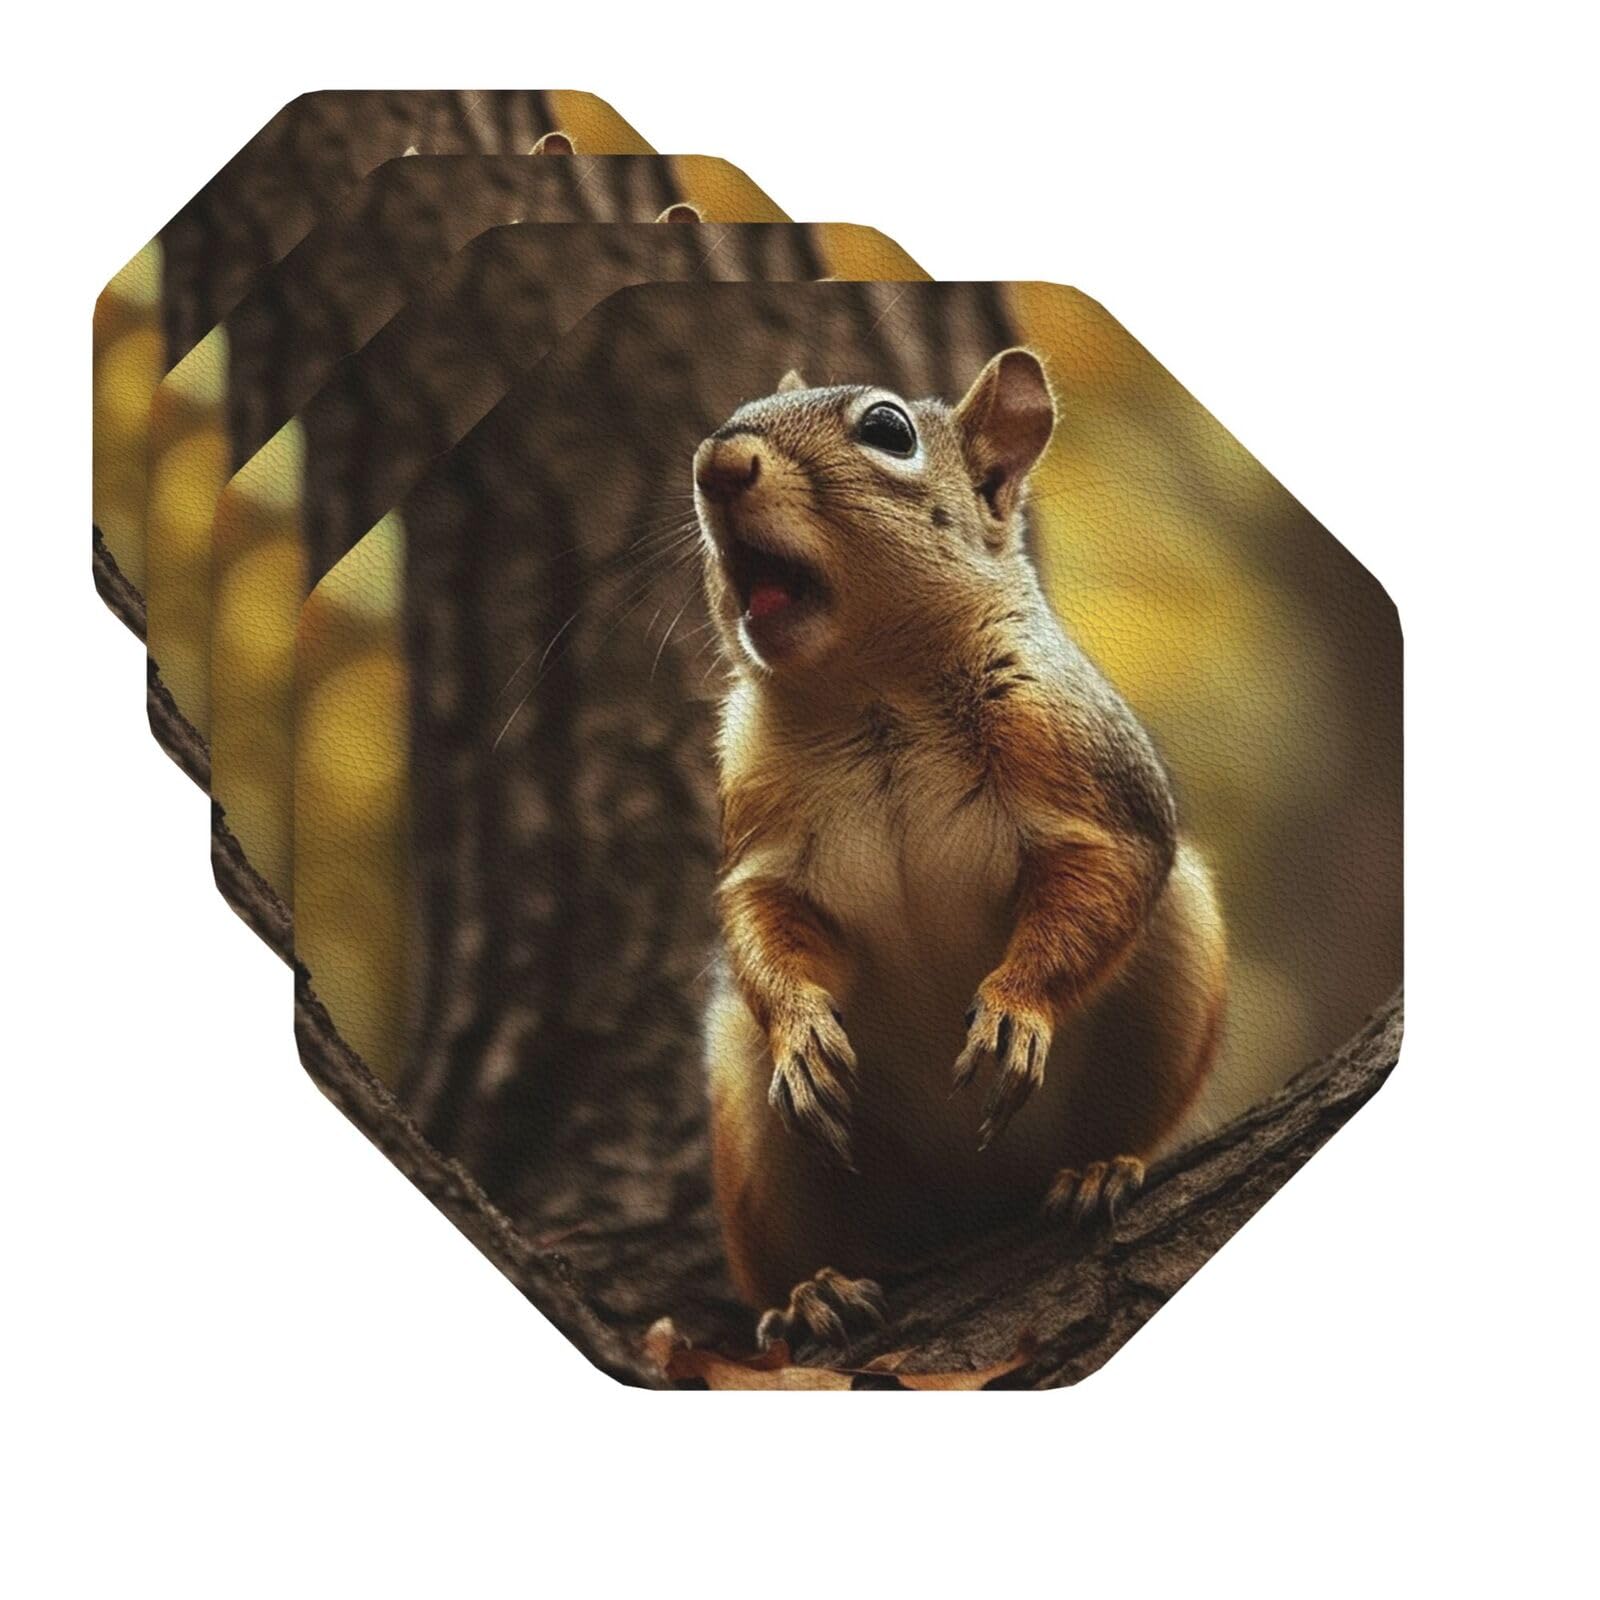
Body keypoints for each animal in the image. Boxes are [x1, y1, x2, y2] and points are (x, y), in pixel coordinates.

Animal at [693, 350, 1228, 1349]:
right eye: (727, 415)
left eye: (889, 430)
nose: (717, 464)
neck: (873, 688)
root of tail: (969, 1210)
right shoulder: (758, 827)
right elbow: (760, 918)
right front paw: (801, 1032)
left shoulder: (1092, 778)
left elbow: (1099, 879)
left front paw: (1015, 1007)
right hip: (753, 1127)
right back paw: (815, 1292)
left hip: (1174, 974)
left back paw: (1098, 1171)